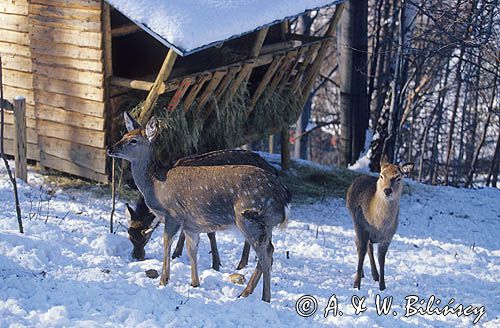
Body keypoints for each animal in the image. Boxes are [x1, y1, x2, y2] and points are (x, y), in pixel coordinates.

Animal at [107, 113, 292, 302]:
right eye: (124, 135)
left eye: (133, 140)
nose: (110, 148)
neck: (156, 185)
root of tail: (284, 198)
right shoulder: (191, 225)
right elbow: (192, 250)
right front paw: (195, 283)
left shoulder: (173, 215)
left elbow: (166, 243)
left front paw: (163, 280)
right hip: (264, 224)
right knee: (270, 251)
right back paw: (246, 292)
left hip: (250, 217)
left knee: (265, 254)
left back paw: (263, 297)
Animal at [348, 158, 414, 290]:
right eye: (381, 175)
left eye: (398, 178)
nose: (387, 190)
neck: (379, 224)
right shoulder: (362, 227)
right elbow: (361, 250)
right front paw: (356, 284)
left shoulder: (388, 237)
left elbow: (381, 259)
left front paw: (382, 286)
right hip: (355, 220)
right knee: (359, 244)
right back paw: (362, 274)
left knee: (369, 247)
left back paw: (375, 275)